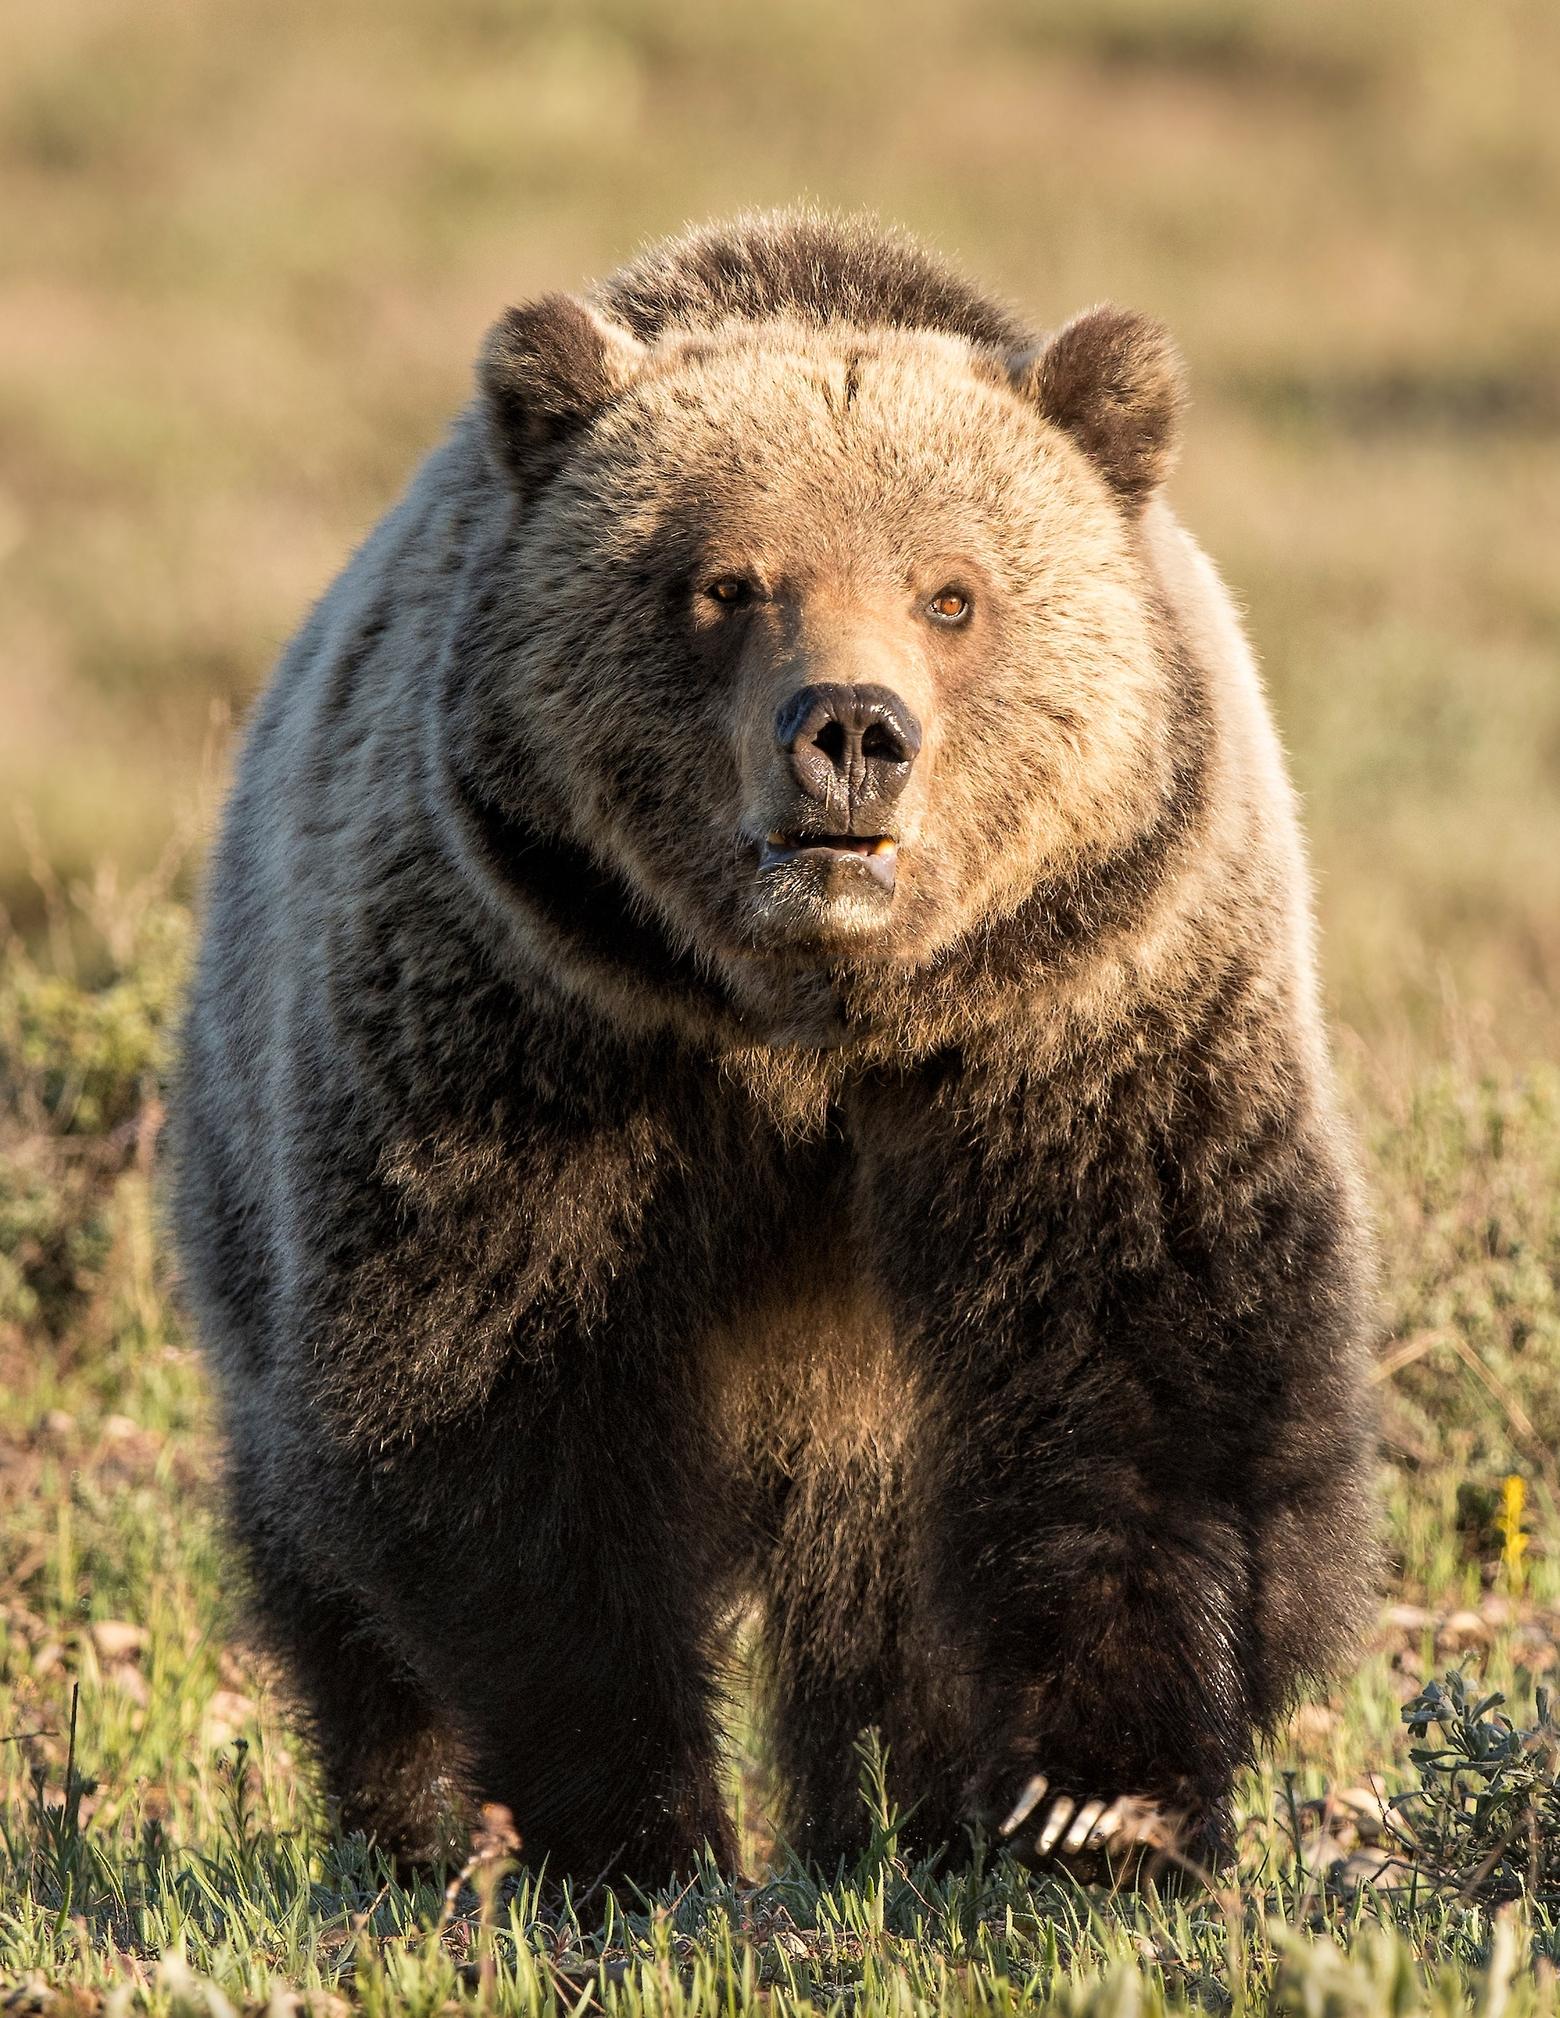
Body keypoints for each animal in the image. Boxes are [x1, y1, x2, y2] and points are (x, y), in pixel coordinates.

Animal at [164, 212, 1372, 1880]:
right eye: (727, 582)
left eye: (951, 593)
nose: (851, 730)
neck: (807, 1016)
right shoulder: (529, 1041)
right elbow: (500, 1408)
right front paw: (633, 1831)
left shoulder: (1083, 1030)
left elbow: (1153, 1350)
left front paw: (1095, 1798)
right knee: (322, 1562)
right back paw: (410, 1826)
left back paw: (905, 1815)